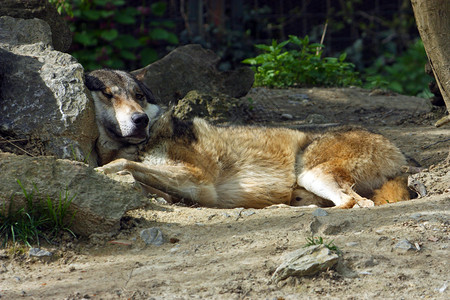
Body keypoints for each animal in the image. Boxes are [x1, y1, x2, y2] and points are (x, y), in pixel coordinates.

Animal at [84, 69, 412, 209]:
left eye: (138, 96)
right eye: (108, 95)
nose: (140, 120)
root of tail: (399, 154)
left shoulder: (198, 182)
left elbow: (124, 164)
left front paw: (100, 170)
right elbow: (137, 172)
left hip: (310, 173)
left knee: (353, 202)